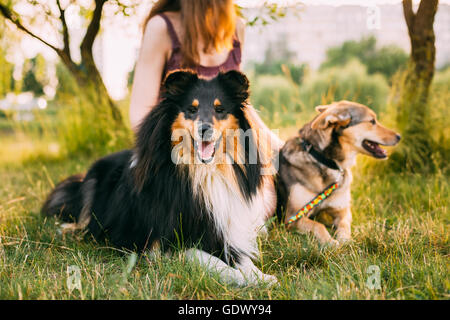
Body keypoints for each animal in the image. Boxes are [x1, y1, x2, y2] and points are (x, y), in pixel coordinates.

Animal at [278, 101, 400, 246]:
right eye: (372, 121)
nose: (399, 136)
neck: (324, 161)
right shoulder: (292, 217)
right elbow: (318, 225)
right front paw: (331, 243)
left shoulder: (342, 210)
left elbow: (344, 225)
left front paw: (345, 241)